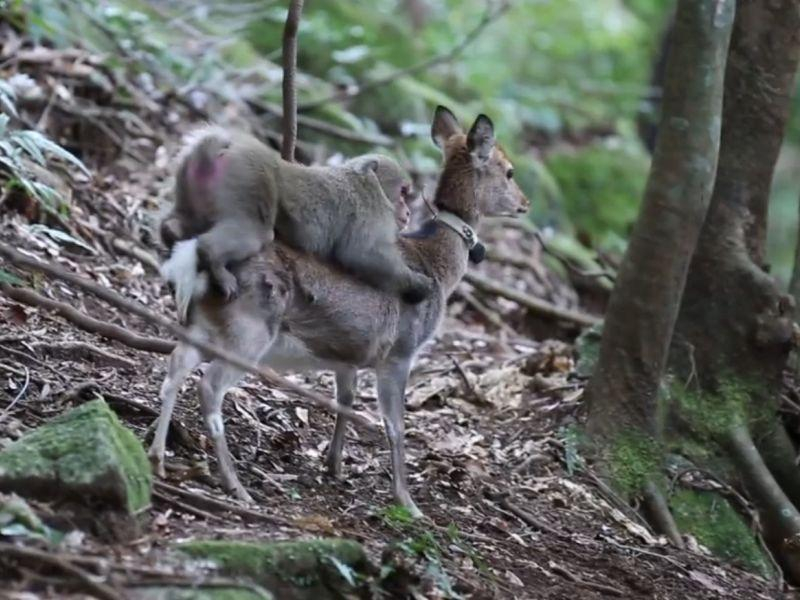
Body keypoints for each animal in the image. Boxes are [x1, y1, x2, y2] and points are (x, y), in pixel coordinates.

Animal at [161, 128, 432, 302]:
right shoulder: (372, 210)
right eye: (403, 192)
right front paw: (417, 283)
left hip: (189, 181)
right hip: (249, 179)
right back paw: (214, 260)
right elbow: (362, 254)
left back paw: (171, 232)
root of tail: (225, 147)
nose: (408, 212)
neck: (366, 180)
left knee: (181, 221)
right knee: (257, 234)